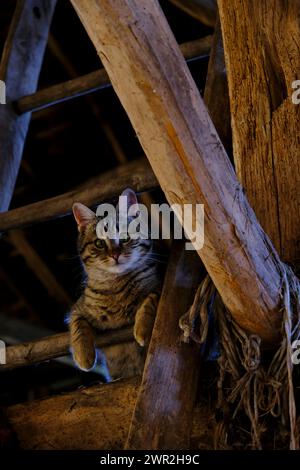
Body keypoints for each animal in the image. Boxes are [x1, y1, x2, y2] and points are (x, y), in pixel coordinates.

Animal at [69, 187, 162, 378]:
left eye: (125, 237)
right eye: (99, 243)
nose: (115, 254)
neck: (116, 286)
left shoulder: (160, 282)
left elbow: (152, 297)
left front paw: (142, 328)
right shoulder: (77, 307)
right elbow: (77, 325)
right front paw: (83, 356)